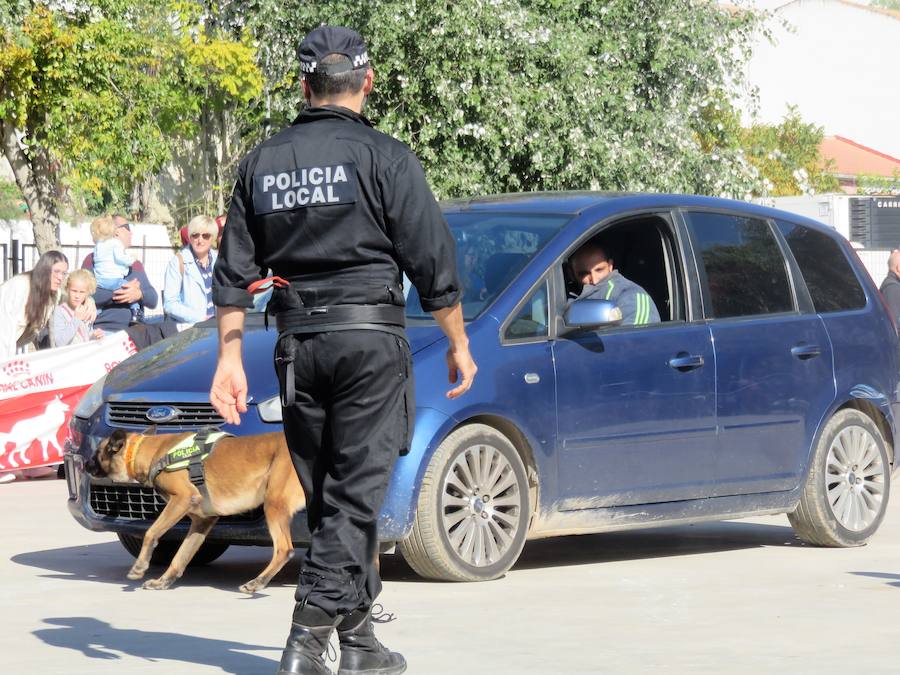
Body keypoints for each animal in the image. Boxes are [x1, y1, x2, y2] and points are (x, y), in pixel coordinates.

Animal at [88, 430, 306, 596]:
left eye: (97, 453)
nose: (85, 464)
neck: (152, 452)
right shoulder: (202, 521)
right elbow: (181, 555)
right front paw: (163, 581)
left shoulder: (181, 499)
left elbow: (151, 532)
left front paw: (140, 566)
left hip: (273, 505)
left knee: (284, 549)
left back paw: (257, 582)